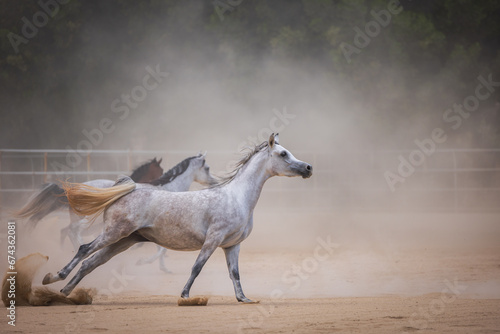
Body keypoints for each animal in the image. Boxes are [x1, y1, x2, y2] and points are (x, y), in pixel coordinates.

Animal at [46, 133, 312, 302]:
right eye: (283, 153)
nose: (308, 168)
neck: (236, 197)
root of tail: (124, 190)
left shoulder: (232, 245)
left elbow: (234, 273)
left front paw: (243, 298)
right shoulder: (212, 240)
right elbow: (197, 267)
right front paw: (184, 295)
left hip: (123, 241)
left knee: (90, 263)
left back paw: (66, 292)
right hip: (113, 233)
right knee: (83, 249)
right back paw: (53, 277)